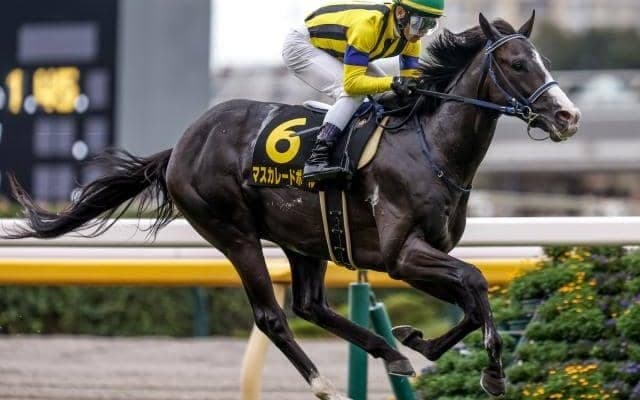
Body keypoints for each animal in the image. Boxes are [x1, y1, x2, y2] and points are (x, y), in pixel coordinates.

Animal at [4, 13, 580, 400]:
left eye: (544, 61)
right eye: (517, 63)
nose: (568, 117)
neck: (429, 145)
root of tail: (181, 146)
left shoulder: (420, 254)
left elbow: (472, 298)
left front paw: (417, 339)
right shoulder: (401, 254)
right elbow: (477, 284)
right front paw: (491, 371)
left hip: (305, 237)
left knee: (310, 305)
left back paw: (389, 353)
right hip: (234, 232)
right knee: (273, 315)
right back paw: (325, 383)